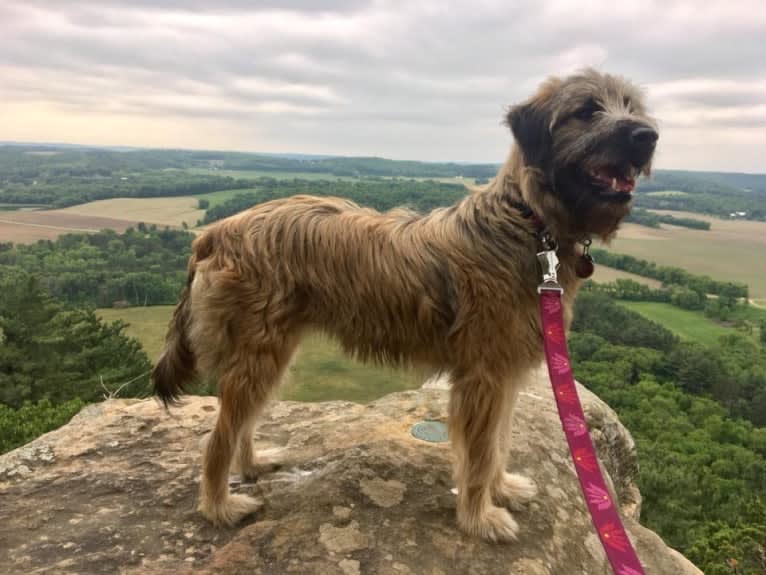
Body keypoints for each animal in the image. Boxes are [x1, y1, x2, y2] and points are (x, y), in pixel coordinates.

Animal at [154, 70, 660, 544]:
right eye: (587, 110)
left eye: (631, 106)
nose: (647, 136)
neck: (528, 221)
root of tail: (214, 232)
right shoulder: (483, 376)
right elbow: (479, 452)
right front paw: (481, 518)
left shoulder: (507, 373)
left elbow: (499, 442)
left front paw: (502, 490)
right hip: (259, 352)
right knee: (218, 438)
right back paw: (219, 506)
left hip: (269, 353)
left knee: (241, 422)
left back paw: (254, 465)